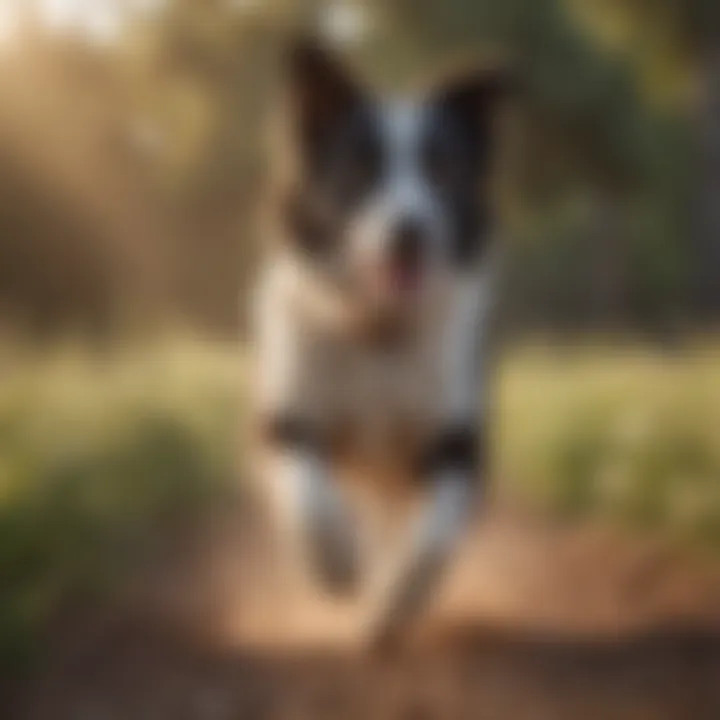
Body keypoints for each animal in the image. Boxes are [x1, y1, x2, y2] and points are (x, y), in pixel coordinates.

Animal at [253, 36, 512, 648]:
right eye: (361, 168)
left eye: (442, 169)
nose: (410, 232)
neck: (379, 332)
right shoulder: (286, 413)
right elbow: (307, 492)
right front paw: (336, 565)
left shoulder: (459, 437)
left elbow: (436, 531)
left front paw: (393, 602)